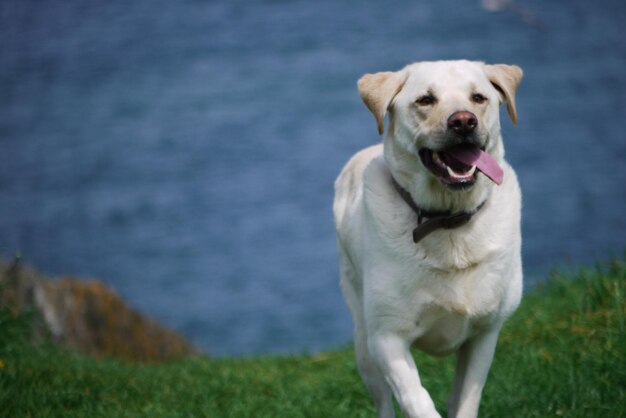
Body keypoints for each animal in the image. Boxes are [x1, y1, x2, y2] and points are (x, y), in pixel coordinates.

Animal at [332, 59, 520, 418]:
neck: (447, 221)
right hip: (364, 344)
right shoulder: (387, 338)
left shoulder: (485, 333)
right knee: (384, 402)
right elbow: (417, 400)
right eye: (425, 100)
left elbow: (467, 401)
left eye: (478, 97)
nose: (463, 121)